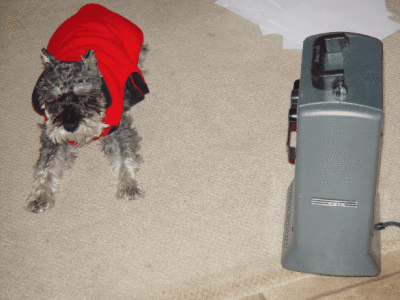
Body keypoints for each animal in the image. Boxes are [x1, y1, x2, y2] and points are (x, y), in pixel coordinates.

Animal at [26, 3, 150, 212]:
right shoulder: (51, 135)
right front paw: (40, 196)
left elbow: (125, 156)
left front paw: (129, 185)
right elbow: (47, 165)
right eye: (54, 99)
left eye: (84, 96)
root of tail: (92, 7)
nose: (70, 125)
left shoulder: (120, 128)